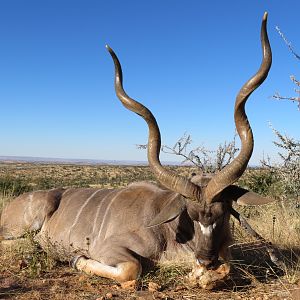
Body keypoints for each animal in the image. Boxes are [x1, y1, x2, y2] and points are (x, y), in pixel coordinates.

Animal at [0, 12, 274, 284]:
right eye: (191, 214)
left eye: (223, 211)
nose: (206, 259)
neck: (169, 230)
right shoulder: (109, 249)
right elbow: (132, 269)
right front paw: (78, 260)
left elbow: (225, 268)